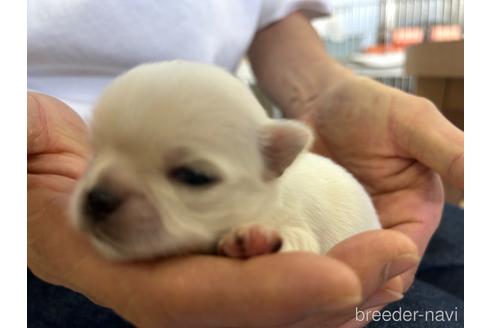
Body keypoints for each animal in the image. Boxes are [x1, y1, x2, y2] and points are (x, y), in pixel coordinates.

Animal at [71, 60, 380, 260]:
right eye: (94, 153)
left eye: (194, 177)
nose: (99, 197)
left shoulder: (297, 227)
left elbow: (295, 240)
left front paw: (255, 241)